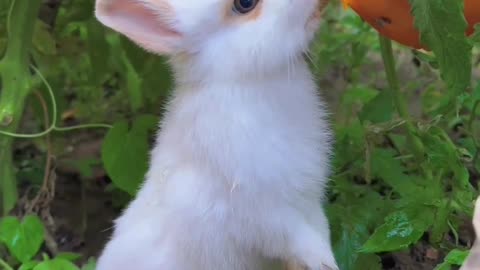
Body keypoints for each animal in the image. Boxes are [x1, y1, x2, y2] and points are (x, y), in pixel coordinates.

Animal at [93, 0, 334, 268]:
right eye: (245, 4)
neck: (248, 81)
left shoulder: (308, 202)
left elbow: (320, 229)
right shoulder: (261, 213)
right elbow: (298, 240)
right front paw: (326, 263)